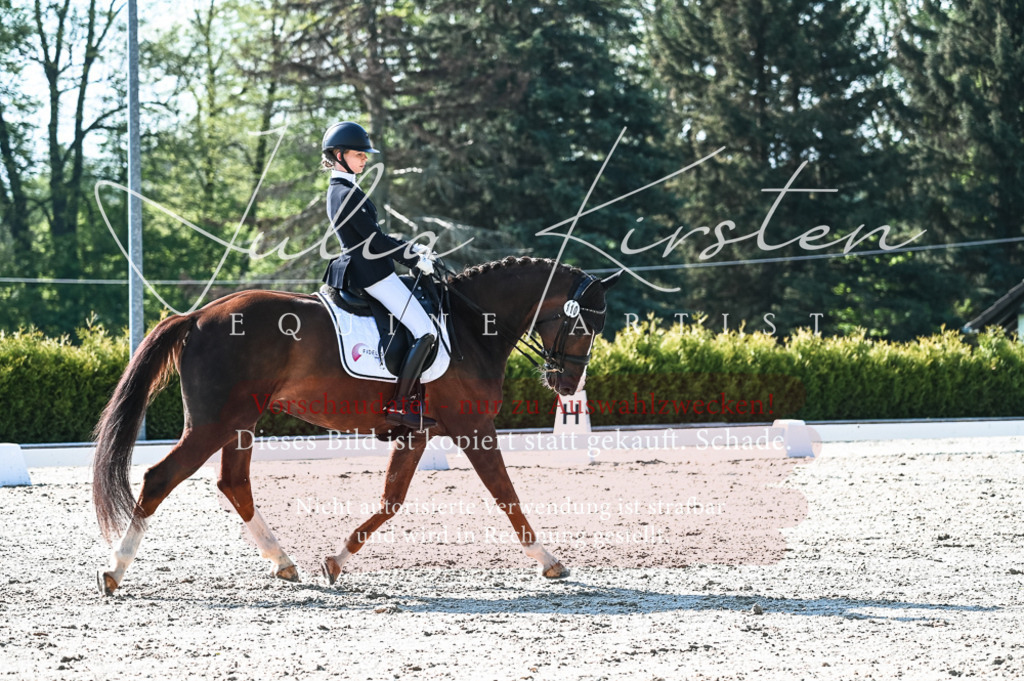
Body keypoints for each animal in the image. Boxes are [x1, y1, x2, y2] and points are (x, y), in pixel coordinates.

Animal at [93, 256, 620, 594]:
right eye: (584, 325)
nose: (568, 384)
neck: (472, 327)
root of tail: (199, 315)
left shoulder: (418, 431)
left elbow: (391, 500)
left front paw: (335, 562)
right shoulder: (474, 425)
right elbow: (506, 496)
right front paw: (550, 562)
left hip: (239, 421)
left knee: (233, 483)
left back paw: (284, 563)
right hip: (215, 423)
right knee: (161, 477)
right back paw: (114, 571)